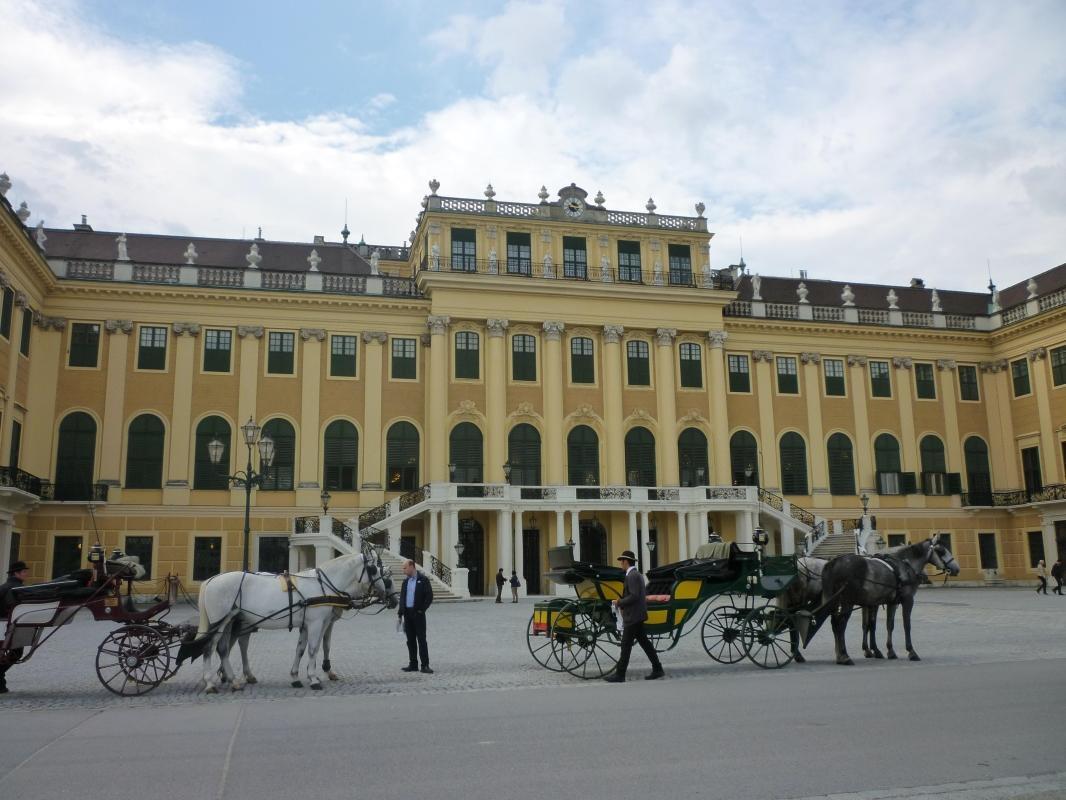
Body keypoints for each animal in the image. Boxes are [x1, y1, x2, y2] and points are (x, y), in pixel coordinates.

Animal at [179, 554, 396, 691]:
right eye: (374, 569)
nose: (392, 599)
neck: (323, 585)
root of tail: (212, 580)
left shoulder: (307, 625)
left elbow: (300, 649)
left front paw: (295, 677)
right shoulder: (317, 623)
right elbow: (314, 649)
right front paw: (314, 678)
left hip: (230, 622)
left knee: (224, 649)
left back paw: (232, 680)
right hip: (219, 623)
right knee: (210, 648)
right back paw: (210, 683)